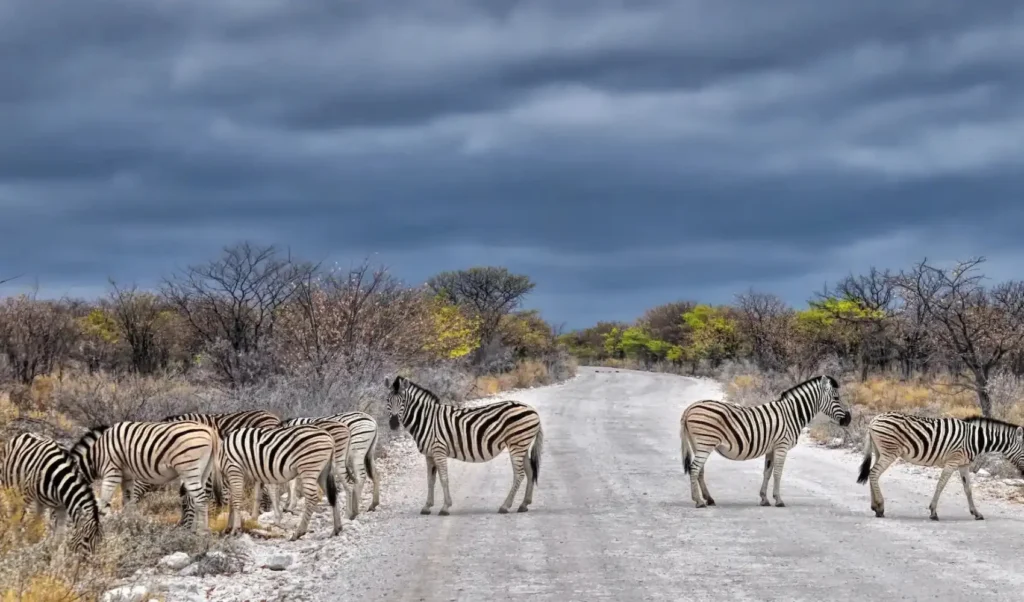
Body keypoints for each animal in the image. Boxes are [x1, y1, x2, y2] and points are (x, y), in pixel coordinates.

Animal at [70, 421, 222, 534]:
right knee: (197, 499)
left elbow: (102, 505)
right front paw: (128, 527)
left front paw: (99, 531)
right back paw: (195, 530)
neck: (96, 455)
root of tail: (210, 431)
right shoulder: (127, 477)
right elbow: (128, 503)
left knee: (201, 499)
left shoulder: (111, 473)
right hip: (203, 471)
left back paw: (202, 532)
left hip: (189, 470)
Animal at [386, 375, 544, 515]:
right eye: (387, 400)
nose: (393, 424)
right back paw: (524, 504)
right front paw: (427, 507)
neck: (426, 419)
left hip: (517, 444)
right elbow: (430, 480)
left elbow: (444, 479)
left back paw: (505, 506)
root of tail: (532, 410)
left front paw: (445, 507)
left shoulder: (439, 450)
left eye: (403, 401)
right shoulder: (429, 454)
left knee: (519, 474)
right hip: (522, 445)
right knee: (530, 472)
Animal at [680, 374, 851, 508]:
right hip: (705, 443)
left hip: (699, 444)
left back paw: (708, 499)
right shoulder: (782, 446)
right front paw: (779, 500)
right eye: (836, 398)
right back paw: (699, 502)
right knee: (695, 468)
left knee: (700, 470)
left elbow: (767, 472)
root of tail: (690, 408)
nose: (848, 420)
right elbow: (777, 473)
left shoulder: (771, 448)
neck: (792, 413)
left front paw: (764, 499)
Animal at [857, 413, 1024, 520]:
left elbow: (968, 489)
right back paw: (880, 507)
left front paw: (976, 513)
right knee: (874, 473)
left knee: (872, 474)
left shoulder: (963, 464)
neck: (975, 439)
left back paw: (875, 507)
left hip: (880, 451)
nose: (1023, 475)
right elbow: (941, 485)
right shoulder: (953, 462)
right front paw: (933, 512)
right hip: (889, 452)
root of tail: (873, 420)